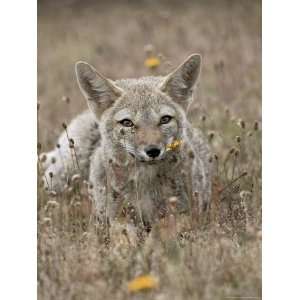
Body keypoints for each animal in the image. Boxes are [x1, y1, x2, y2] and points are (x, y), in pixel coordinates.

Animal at [39, 54, 212, 225]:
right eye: (127, 123)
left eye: (165, 119)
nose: (153, 151)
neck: (146, 185)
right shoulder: (116, 220)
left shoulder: (184, 216)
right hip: (65, 174)